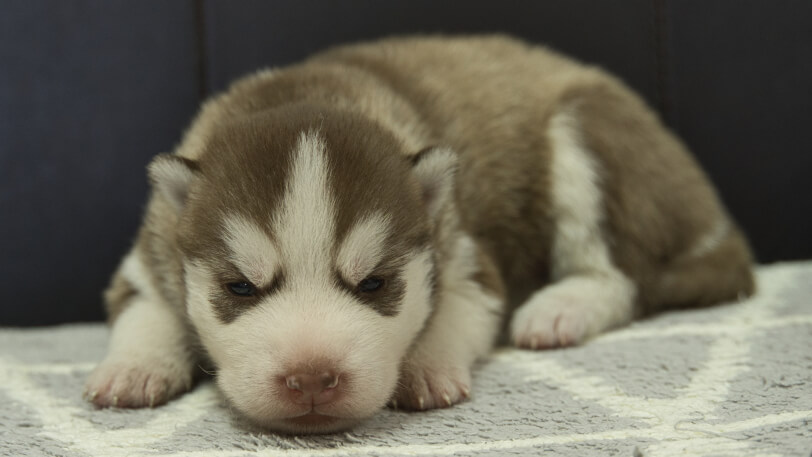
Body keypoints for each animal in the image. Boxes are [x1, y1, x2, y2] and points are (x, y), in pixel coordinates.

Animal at [84, 34, 756, 432]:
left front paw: (426, 368)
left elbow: (457, 313)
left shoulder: (465, 257)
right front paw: (133, 368)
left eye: (375, 284)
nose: (312, 379)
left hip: (587, 137)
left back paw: (559, 309)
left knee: (623, 275)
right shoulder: (149, 257)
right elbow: (144, 313)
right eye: (241, 288)